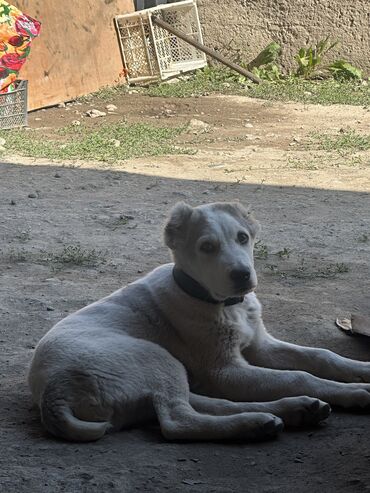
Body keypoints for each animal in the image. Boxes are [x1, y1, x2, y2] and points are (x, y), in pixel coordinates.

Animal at [28, 202, 370, 440]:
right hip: (154, 358)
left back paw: (294, 411)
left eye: (243, 238)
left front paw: (361, 370)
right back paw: (256, 424)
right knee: (177, 421)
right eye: (207, 247)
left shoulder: (260, 346)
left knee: (201, 404)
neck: (223, 304)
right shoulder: (225, 371)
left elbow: (321, 355)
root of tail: (54, 394)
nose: (242, 275)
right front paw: (352, 389)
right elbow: (299, 374)